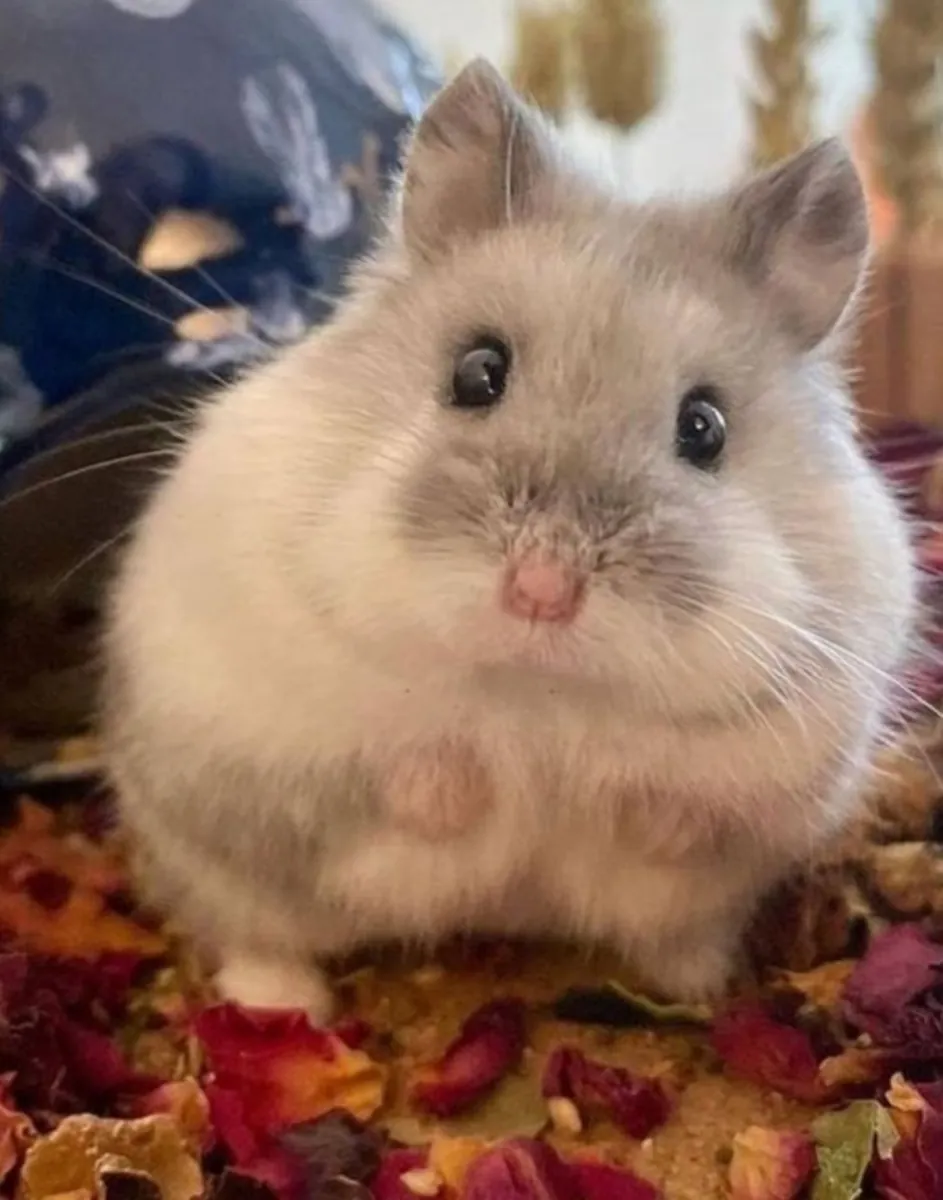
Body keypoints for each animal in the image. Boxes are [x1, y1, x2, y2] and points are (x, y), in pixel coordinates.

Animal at [102, 59, 917, 1020]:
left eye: (704, 429)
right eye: (477, 371)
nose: (542, 592)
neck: (536, 692)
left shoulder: (780, 754)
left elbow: (682, 811)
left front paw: (610, 807)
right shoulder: (278, 718)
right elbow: (398, 772)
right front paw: (466, 789)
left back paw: (701, 986)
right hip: (210, 862)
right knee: (253, 935)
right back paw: (285, 1008)